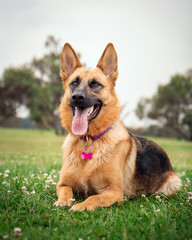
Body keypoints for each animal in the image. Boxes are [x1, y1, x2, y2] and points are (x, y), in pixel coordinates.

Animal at [54, 43, 182, 212]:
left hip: (173, 182)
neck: (90, 140)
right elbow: (65, 191)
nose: (77, 97)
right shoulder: (62, 184)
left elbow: (94, 198)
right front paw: (62, 201)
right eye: (74, 83)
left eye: (95, 84)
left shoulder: (114, 191)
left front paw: (81, 206)